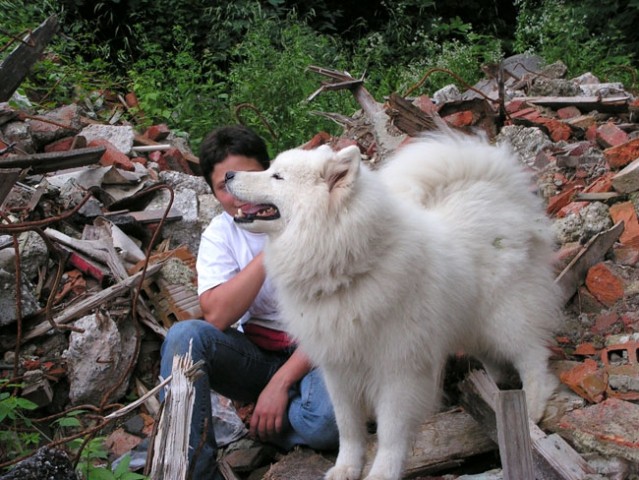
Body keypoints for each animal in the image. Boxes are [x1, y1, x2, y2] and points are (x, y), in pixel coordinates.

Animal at [224, 131, 560, 480]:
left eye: (277, 176)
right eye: (270, 168)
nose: (228, 175)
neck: (347, 269)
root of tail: (496, 191)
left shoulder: (399, 370)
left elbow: (390, 432)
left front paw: (382, 472)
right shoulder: (338, 370)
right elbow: (348, 427)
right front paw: (345, 467)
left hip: (504, 316)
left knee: (532, 356)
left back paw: (532, 405)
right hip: (471, 324)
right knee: (495, 358)